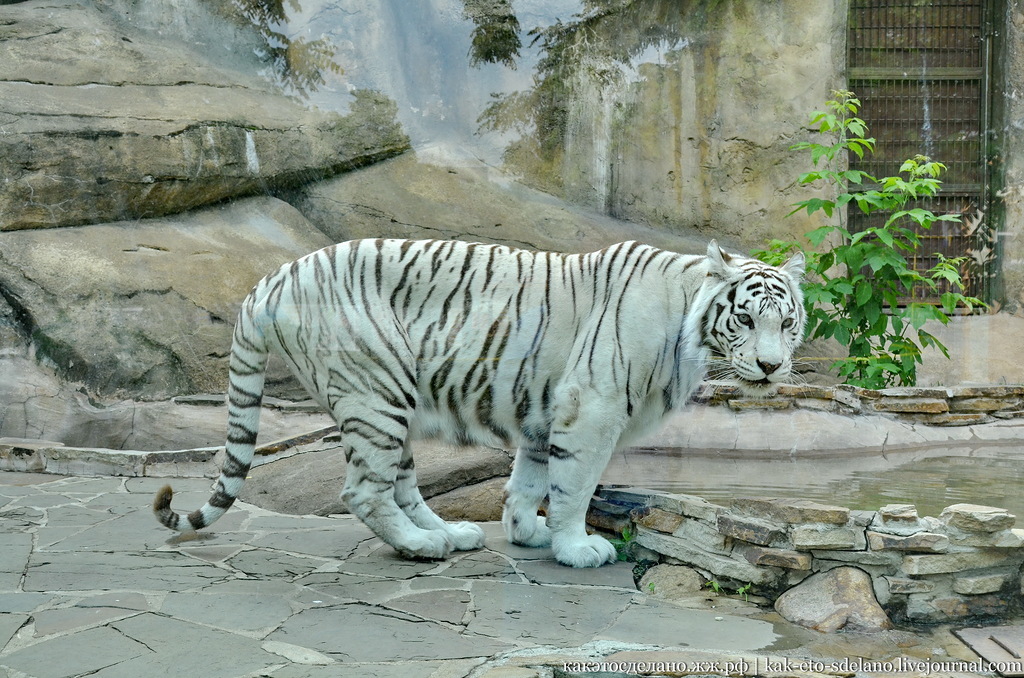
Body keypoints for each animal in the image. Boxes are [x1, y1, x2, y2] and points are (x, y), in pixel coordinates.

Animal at [153, 238, 806, 569]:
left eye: (787, 322)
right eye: (746, 319)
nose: (771, 367)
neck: (688, 324)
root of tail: (273, 277)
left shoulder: (547, 413)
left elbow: (529, 482)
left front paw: (527, 534)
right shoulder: (590, 410)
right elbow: (575, 487)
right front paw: (576, 548)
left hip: (388, 403)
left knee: (400, 485)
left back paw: (450, 534)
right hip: (376, 389)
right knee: (363, 491)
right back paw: (421, 547)